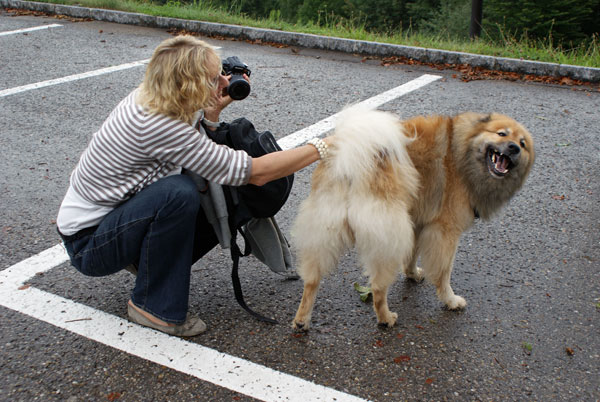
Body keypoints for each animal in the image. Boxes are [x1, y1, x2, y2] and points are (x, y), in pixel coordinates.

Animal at [290, 107, 536, 330]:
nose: (514, 148)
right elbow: (444, 272)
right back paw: (386, 318)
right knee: (378, 287)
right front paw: (450, 300)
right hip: (388, 236)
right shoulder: (445, 232)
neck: (462, 151)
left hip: (326, 231)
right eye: (502, 134)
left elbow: (412, 255)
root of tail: (351, 160)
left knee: (311, 280)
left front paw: (412, 274)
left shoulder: (418, 222)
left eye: (522, 144)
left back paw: (302, 320)